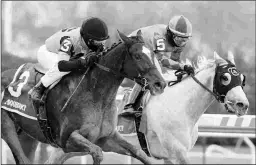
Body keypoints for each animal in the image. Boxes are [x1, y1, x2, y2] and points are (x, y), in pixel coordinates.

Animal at [0, 30, 166, 164]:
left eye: (153, 54)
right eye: (137, 56)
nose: (160, 84)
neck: (97, 96)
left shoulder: (106, 138)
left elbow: (141, 154)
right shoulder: (67, 140)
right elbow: (97, 153)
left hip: (27, 136)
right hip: (8, 128)